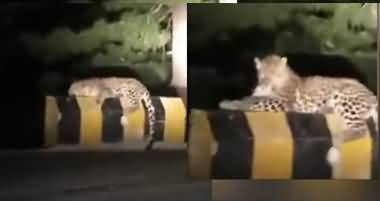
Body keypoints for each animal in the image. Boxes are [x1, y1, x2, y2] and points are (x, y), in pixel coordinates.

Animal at [220, 53, 378, 168]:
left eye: (276, 74)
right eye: (263, 75)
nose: (266, 84)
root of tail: (373, 95)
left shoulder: (285, 103)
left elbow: (256, 102)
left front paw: (231, 104)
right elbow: (251, 97)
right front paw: (233, 101)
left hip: (345, 97)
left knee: (360, 130)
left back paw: (334, 148)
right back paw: (325, 109)